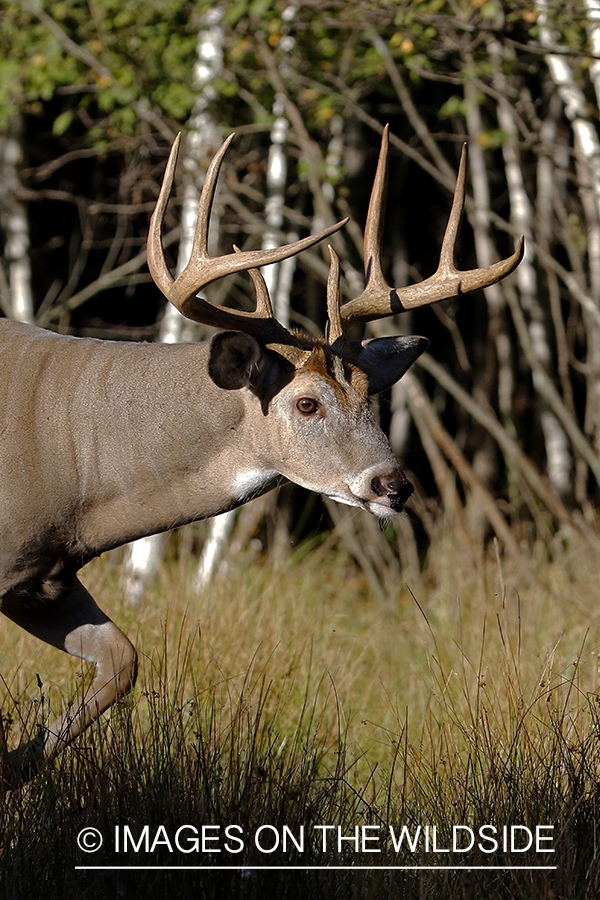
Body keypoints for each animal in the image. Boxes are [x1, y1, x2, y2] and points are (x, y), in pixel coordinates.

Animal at [0, 123, 524, 784]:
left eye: (374, 396)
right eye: (306, 404)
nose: (394, 485)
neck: (75, 460)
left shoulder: (44, 576)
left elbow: (123, 661)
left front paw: (12, 769)